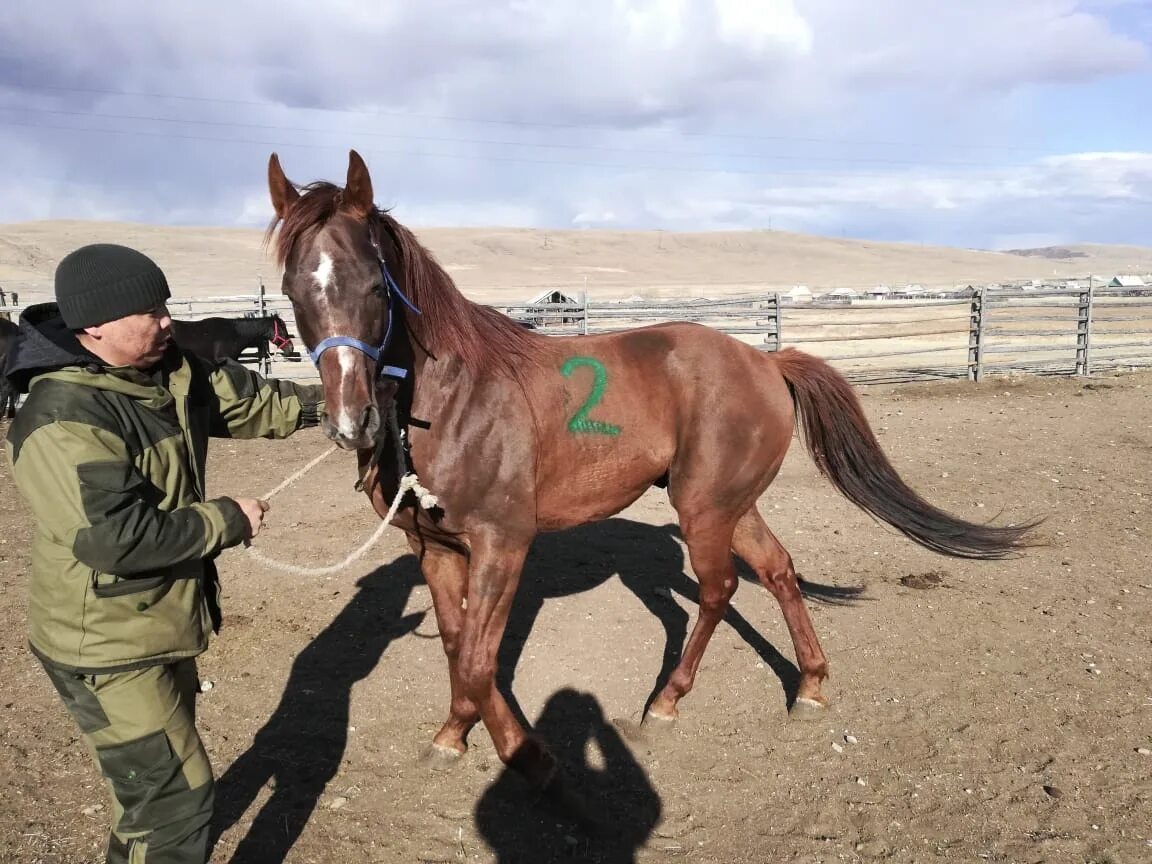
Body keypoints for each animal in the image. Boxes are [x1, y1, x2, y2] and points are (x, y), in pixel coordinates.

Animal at [264, 152, 1041, 801]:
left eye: (376, 285)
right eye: (293, 291)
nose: (350, 421)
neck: (453, 399)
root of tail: (766, 360)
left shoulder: (503, 543)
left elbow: (482, 662)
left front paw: (532, 758)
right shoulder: (432, 548)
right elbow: (460, 652)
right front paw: (454, 735)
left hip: (705, 509)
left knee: (720, 589)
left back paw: (666, 701)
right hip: (730, 504)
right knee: (779, 571)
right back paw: (812, 686)